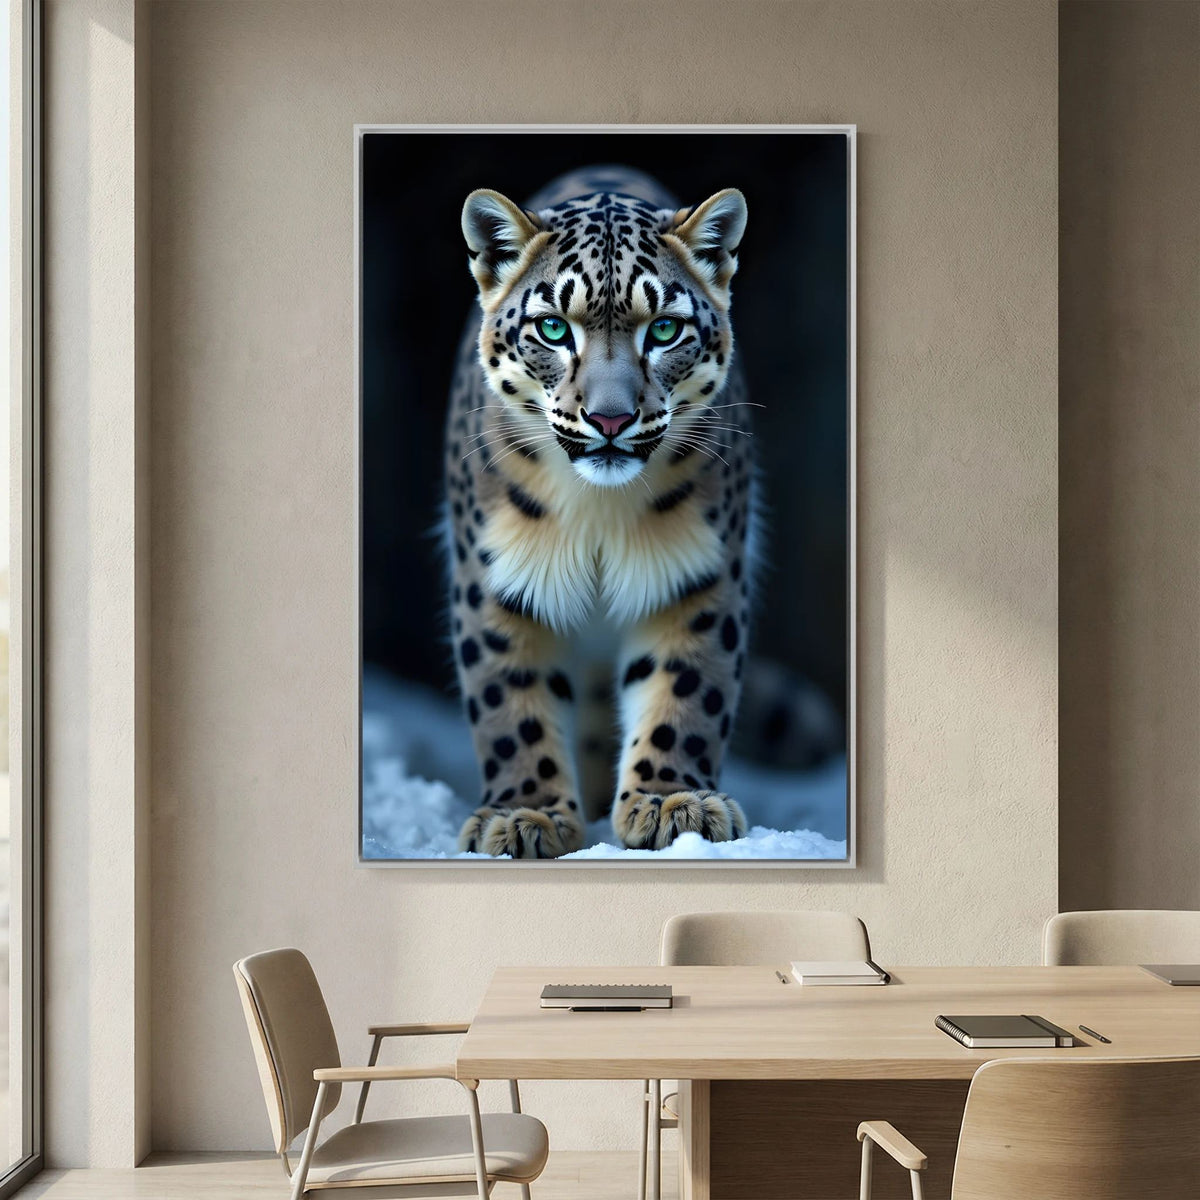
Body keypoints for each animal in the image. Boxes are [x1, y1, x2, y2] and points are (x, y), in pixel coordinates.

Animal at [443, 165, 759, 858]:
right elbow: (510, 701)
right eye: (553, 328)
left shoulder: (698, 574)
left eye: (663, 329)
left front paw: (673, 803)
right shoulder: (495, 580)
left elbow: (685, 689)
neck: (597, 513)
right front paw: (525, 815)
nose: (610, 419)